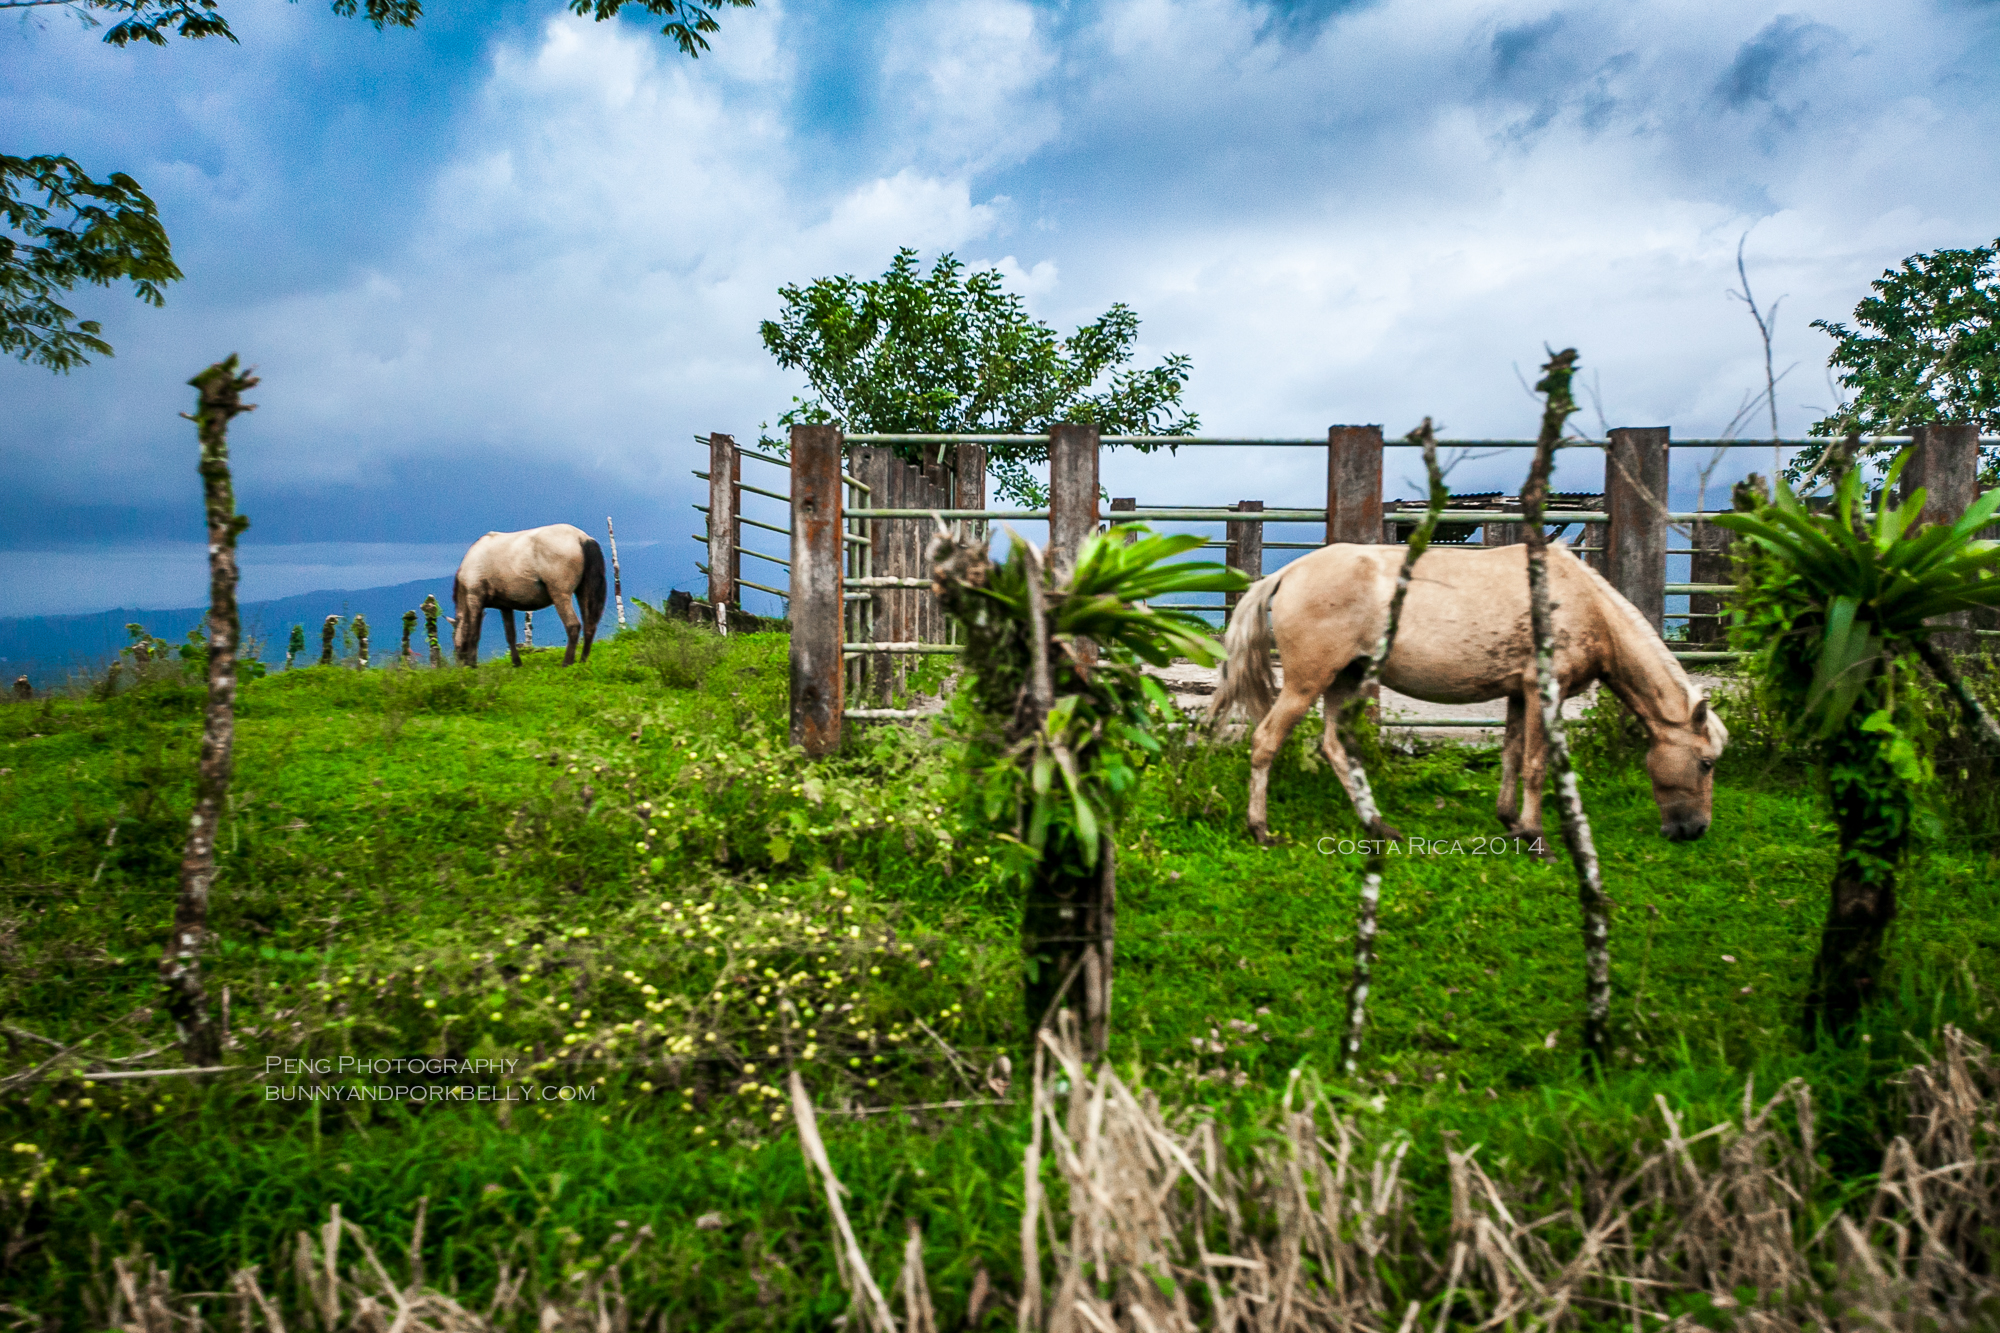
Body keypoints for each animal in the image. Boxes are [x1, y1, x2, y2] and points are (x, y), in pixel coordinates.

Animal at [456, 520, 604, 664]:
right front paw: (516, 663)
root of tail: (581, 538)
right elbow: (510, 635)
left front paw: (472, 664)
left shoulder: (475, 599)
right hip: (582, 591)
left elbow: (473, 634)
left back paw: (567, 662)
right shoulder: (505, 606)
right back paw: (583, 660)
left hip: (561, 595)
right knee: (589, 625)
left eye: (456, 646)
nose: (460, 665)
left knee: (573, 625)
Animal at [1208, 536, 1728, 840]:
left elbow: (1512, 756)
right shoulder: (1544, 692)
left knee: (1335, 747)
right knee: (1265, 741)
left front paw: (1510, 821)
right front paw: (1536, 836)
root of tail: (1286, 573)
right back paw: (1260, 828)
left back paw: (1378, 825)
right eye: (1705, 763)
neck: (1583, 602)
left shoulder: (1518, 695)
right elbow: (1536, 764)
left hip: (1345, 682)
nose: (1695, 829)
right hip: (1306, 685)